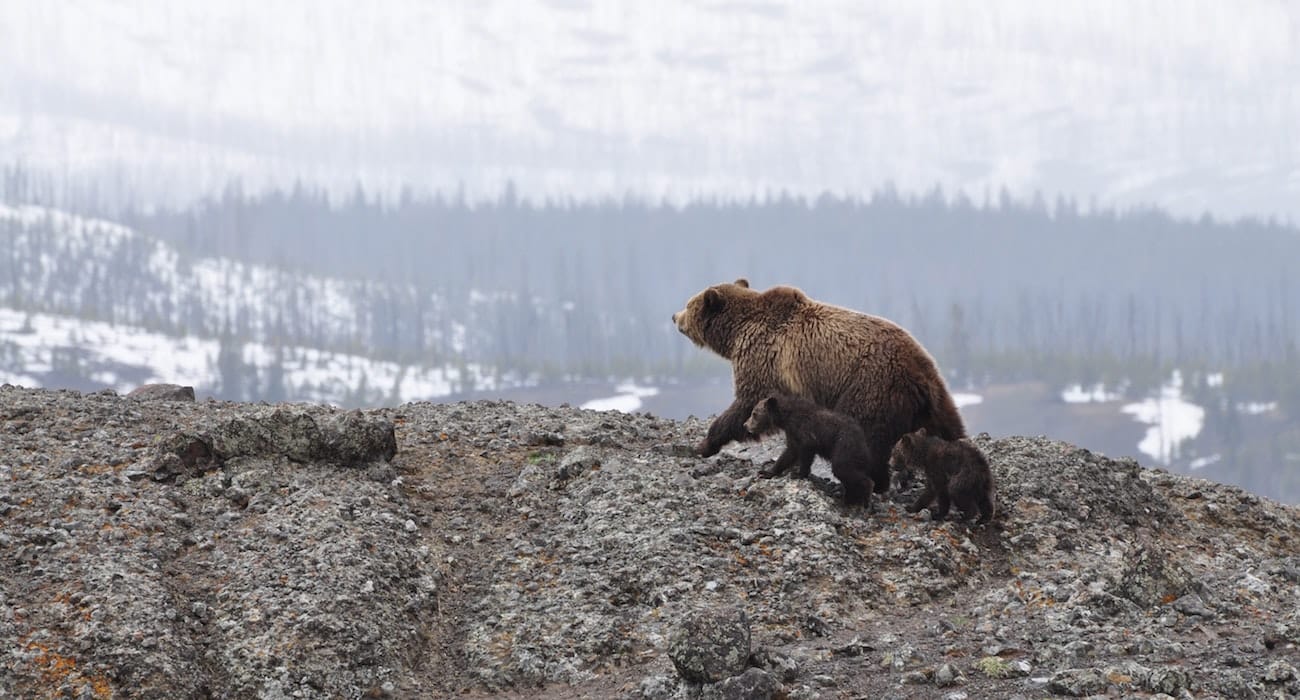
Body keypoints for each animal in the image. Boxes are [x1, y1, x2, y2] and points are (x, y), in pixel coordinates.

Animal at [670, 278, 967, 489]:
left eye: (689, 304)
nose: (674, 317)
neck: (736, 334)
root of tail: (920, 373)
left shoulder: (763, 359)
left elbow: (747, 402)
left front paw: (705, 443)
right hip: (934, 400)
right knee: (950, 430)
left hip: (870, 387)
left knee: (866, 436)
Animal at [743, 392, 873, 502]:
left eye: (754, 413)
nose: (745, 425)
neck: (786, 417)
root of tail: (864, 440)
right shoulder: (792, 433)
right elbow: (789, 453)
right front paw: (766, 472)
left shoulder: (805, 430)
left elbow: (805, 450)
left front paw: (799, 474)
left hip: (844, 445)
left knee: (842, 468)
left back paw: (864, 496)